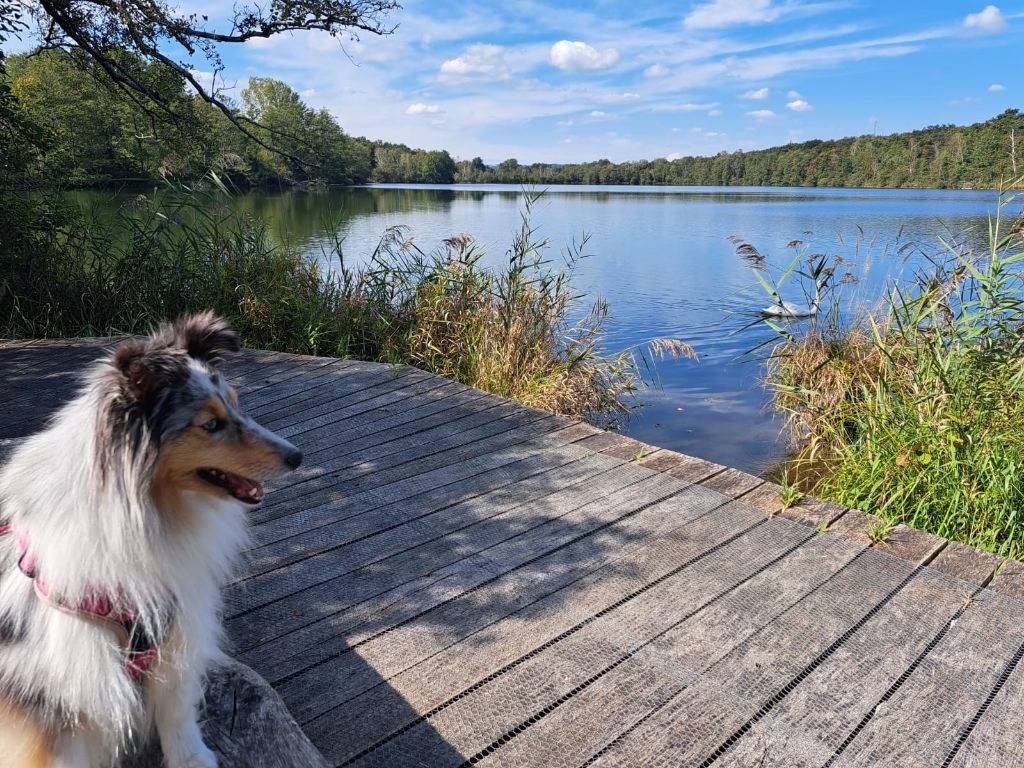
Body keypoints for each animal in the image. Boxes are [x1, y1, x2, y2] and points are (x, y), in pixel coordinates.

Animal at [0, 313, 301, 768]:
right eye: (210, 424)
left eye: (236, 404)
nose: (297, 457)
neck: (144, 511)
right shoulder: (60, 690)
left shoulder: (175, 632)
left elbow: (176, 712)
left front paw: (192, 761)